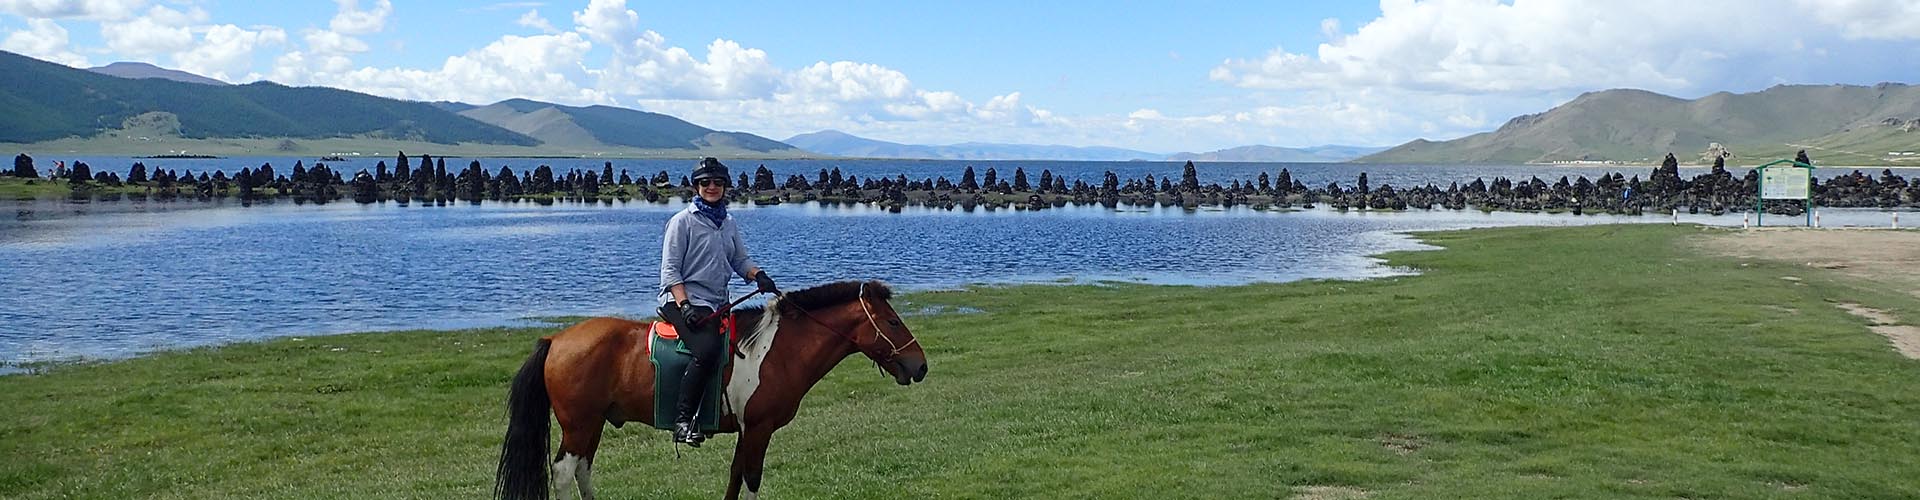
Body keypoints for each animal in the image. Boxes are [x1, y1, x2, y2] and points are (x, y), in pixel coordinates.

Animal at [487, 280, 921, 500]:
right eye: (893, 322)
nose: (920, 365)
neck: (775, 349)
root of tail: (556, 340)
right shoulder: (758, 430)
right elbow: (750, 481)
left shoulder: (747, 431)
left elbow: (735, 478)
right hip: (579, 425)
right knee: (564, 472)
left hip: (592, 425)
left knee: (581, 470)